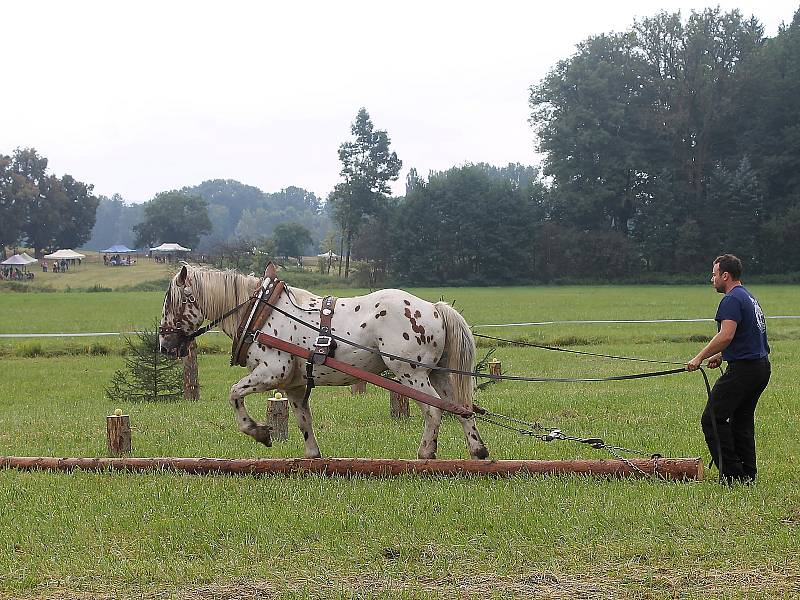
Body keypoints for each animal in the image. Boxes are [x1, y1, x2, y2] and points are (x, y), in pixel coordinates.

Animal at [157, 262, 490, 460]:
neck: (259, 314)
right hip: (439, 374)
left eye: (171, 301)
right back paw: (478, 450)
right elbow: (304, 421)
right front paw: (313, 456)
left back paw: (425, 453)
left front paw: (259, 432)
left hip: (412, 373)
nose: (164, 344)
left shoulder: (272, 372)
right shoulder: (292, 386)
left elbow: (234, 394)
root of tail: (434, 308)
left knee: (434, 411)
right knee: (462, 408)